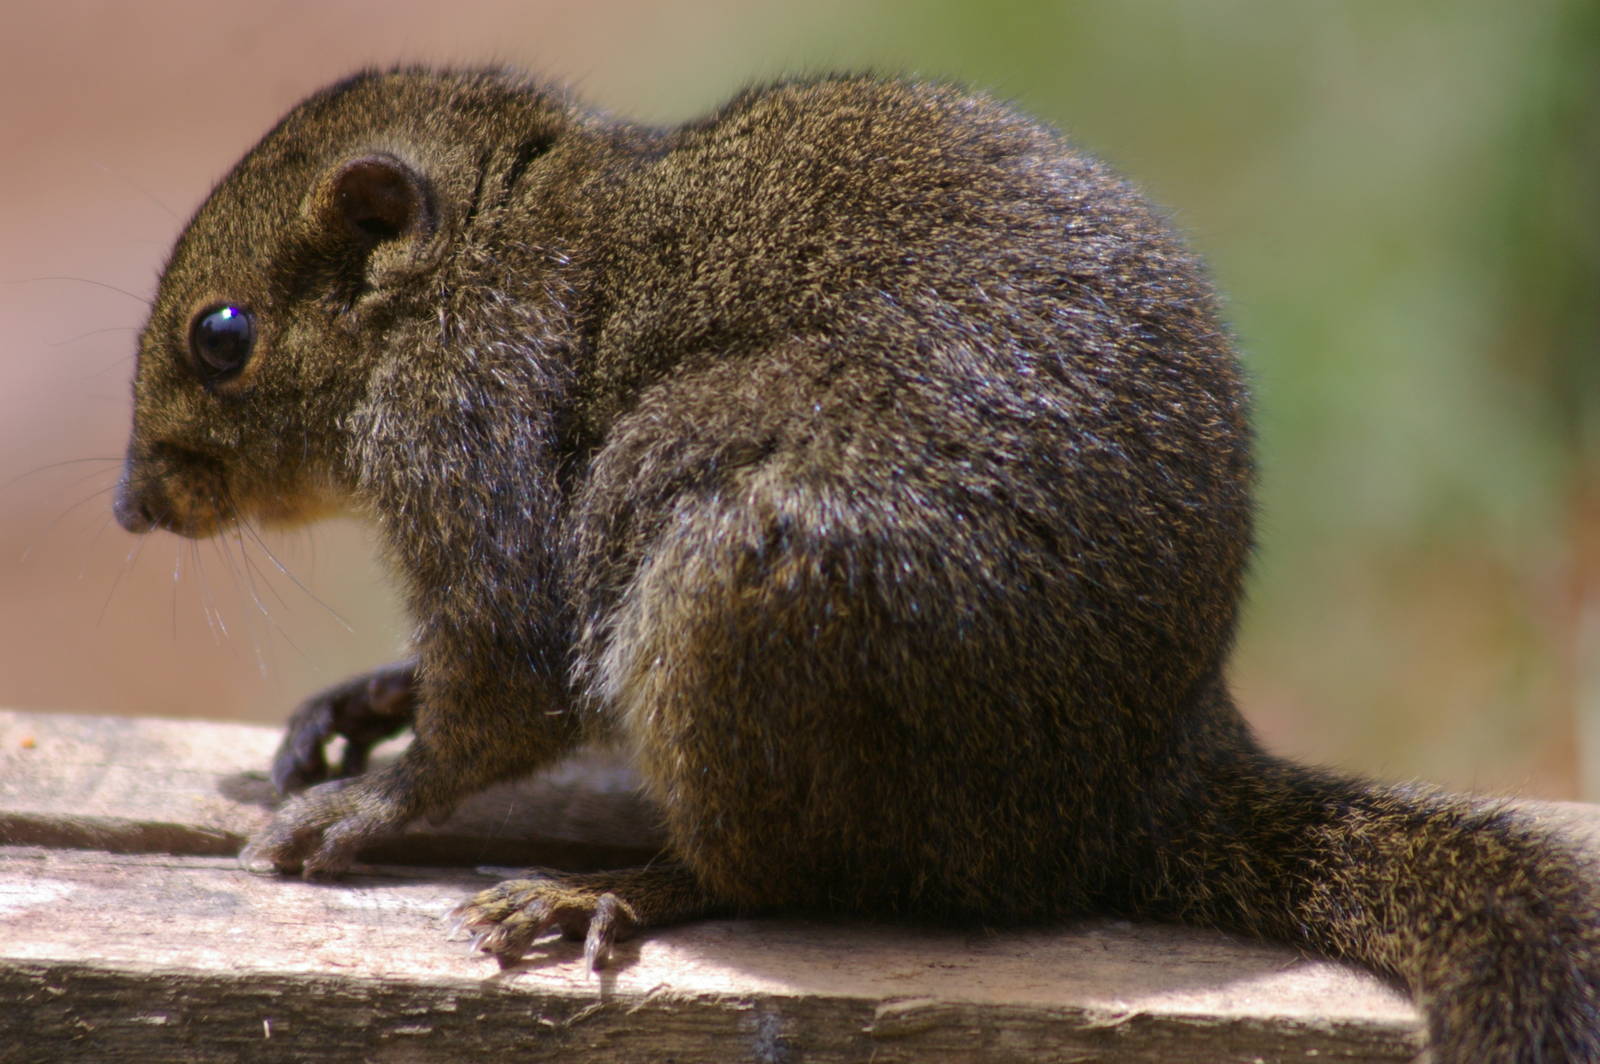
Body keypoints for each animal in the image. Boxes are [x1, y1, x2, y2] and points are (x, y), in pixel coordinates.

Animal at [111, 67, 1599, 1060]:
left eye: (222, 335)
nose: (131, 505)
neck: (485, 245)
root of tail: (1149, 770)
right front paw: (360, 703)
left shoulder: (470, 426)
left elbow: (503, 693)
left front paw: (359, 808)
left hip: (740, 585)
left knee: (780, 875)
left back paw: (618, 887)